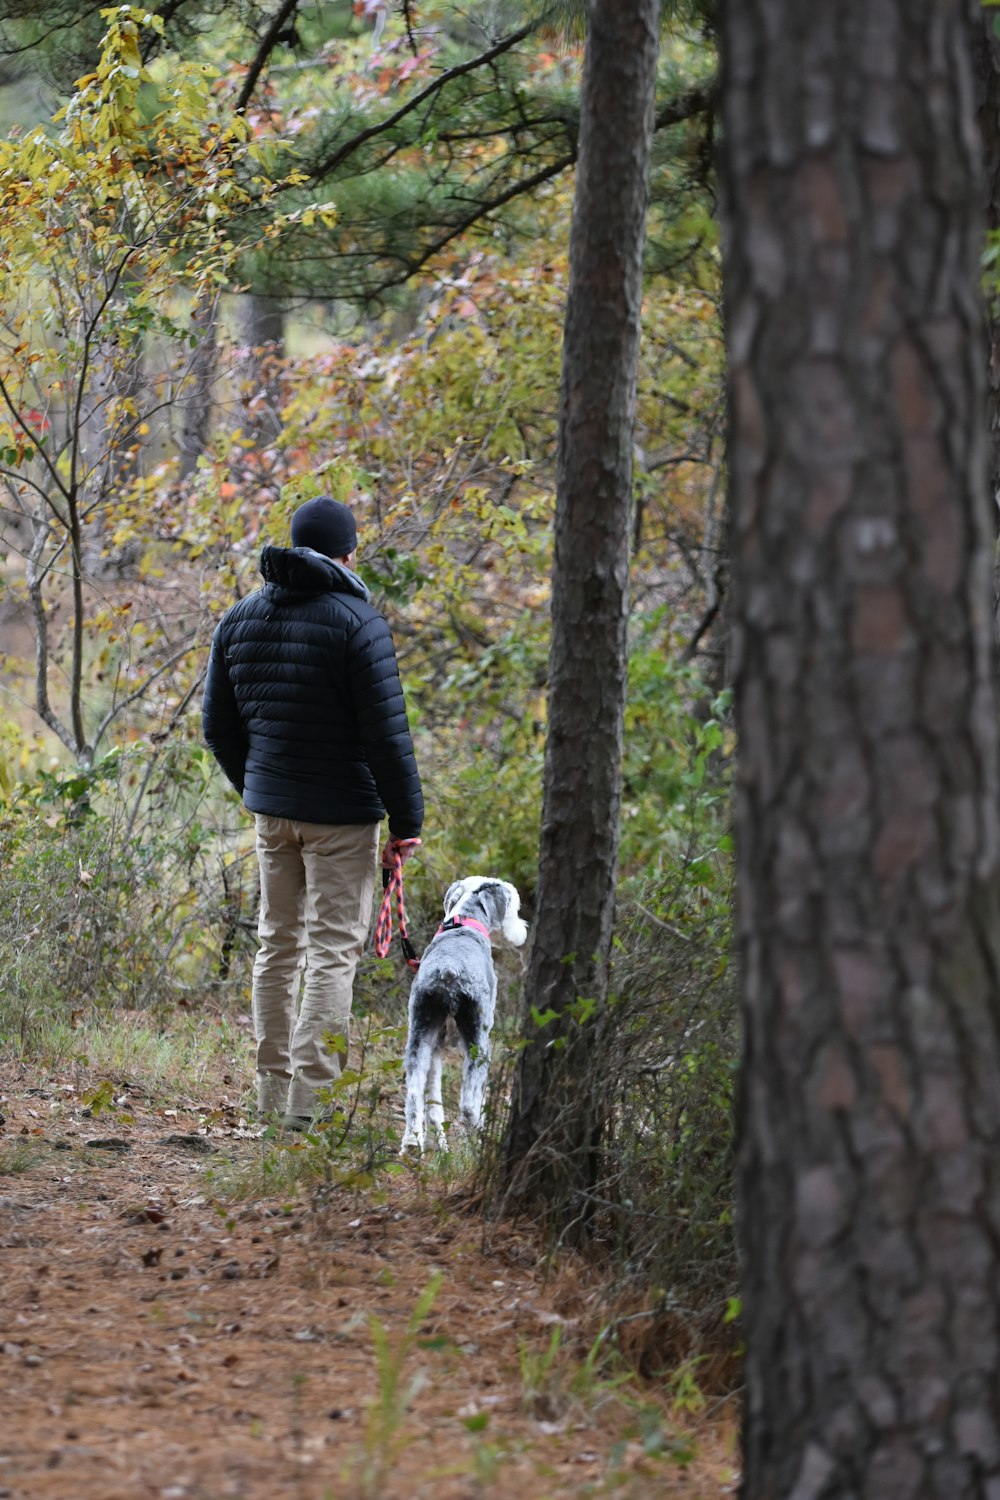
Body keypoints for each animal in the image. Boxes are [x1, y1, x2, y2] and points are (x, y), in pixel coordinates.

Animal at [398, 876, 527, 1152]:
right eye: (514, 905)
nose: (521, 930)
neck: (464, 921)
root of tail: (448, 972)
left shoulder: (435, 1045)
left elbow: (433, 1100)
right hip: (478, 1041)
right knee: (468, 1104)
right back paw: (479, 1144)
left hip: (420, 1032)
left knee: (414, 1094)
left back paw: (412, 1144)